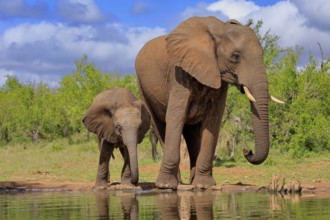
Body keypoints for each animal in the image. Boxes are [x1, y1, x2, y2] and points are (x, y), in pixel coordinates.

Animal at [135, 16, 282, 190]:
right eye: (236, 56)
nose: (247, 151)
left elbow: (213, 120)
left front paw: (204, 186)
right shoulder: (179, 74)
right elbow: (176, 116)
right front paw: (165, 186)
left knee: (191, 134)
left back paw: (191, 181)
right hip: (142, 87)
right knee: (159, 127)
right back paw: (175, 182)